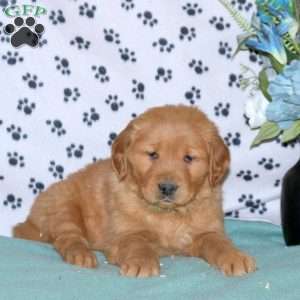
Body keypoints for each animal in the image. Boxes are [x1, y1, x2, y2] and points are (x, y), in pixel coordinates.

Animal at [13, 105, 255, 276]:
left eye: (189, 158)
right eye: (152, 154)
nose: (167, 187)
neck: (168, 214)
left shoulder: (207, 230)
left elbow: (218, 242)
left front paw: (235, 257)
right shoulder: (123, 234)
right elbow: (136, 243)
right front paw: (141, 263)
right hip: (63, 206)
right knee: (66, 237)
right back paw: (82, 255)